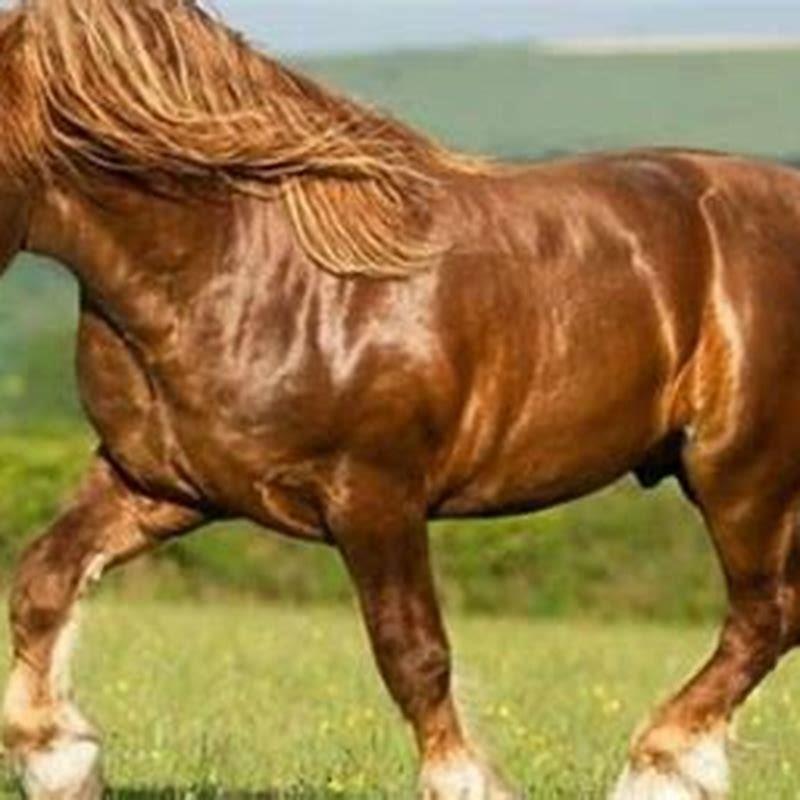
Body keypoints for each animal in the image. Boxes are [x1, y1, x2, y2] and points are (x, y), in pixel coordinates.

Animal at [2, 1, 800, 798]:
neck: (235, 261)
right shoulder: (164, 484)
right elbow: (43, 578)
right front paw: (58, 757)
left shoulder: (375, 494)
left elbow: (412, 651)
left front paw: (463, 781)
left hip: (743, 475)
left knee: (766, 614)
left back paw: (661, 768)